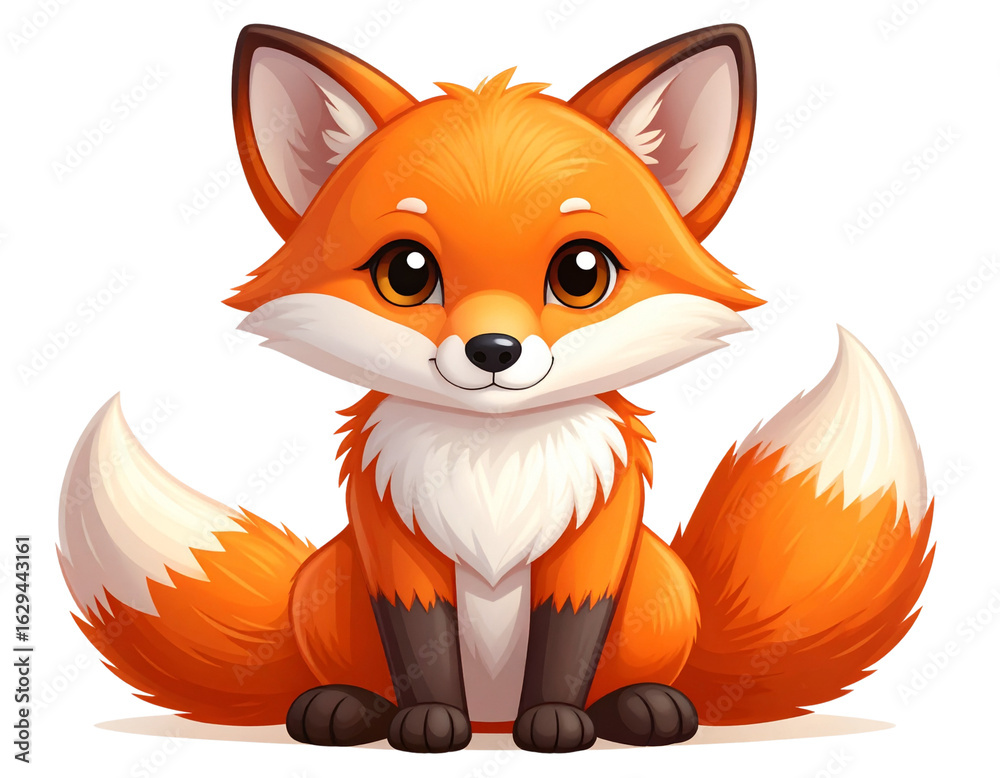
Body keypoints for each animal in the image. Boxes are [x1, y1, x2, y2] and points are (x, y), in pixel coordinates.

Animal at [58, 23, 934, 753]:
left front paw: (557, 724)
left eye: (581, 272)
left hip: (658, 584)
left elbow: (566, 643)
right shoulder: (390, 541)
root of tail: (492, 720)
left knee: (646, 678)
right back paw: (346, 707)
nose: (494, 351)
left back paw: (641, 707)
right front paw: (426, 724)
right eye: (407, 272)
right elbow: (422, 645)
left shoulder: (595, 543)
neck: (492, 463)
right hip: (328, 582)